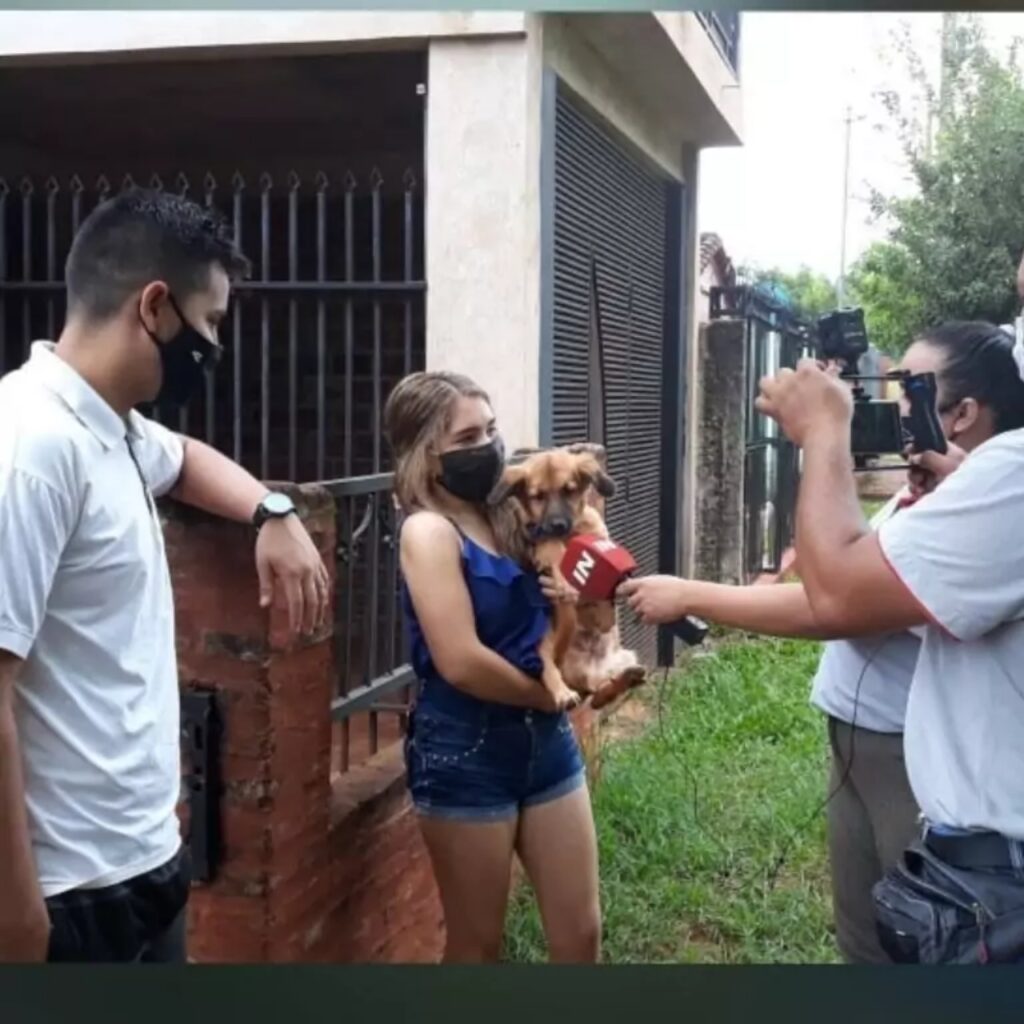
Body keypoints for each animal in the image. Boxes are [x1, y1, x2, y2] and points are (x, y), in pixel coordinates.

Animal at [489, 444, 643, 708]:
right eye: (538, 496)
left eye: (569, 490)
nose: (558, 524)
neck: (569, 535)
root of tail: (588, 672)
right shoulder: (538, 537)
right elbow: (550, 545)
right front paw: (563, 579)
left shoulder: (596, 534)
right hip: (545, 642)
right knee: (556, 673)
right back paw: (564, 693)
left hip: (622, 657)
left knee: (600, 693)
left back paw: (626, 679)